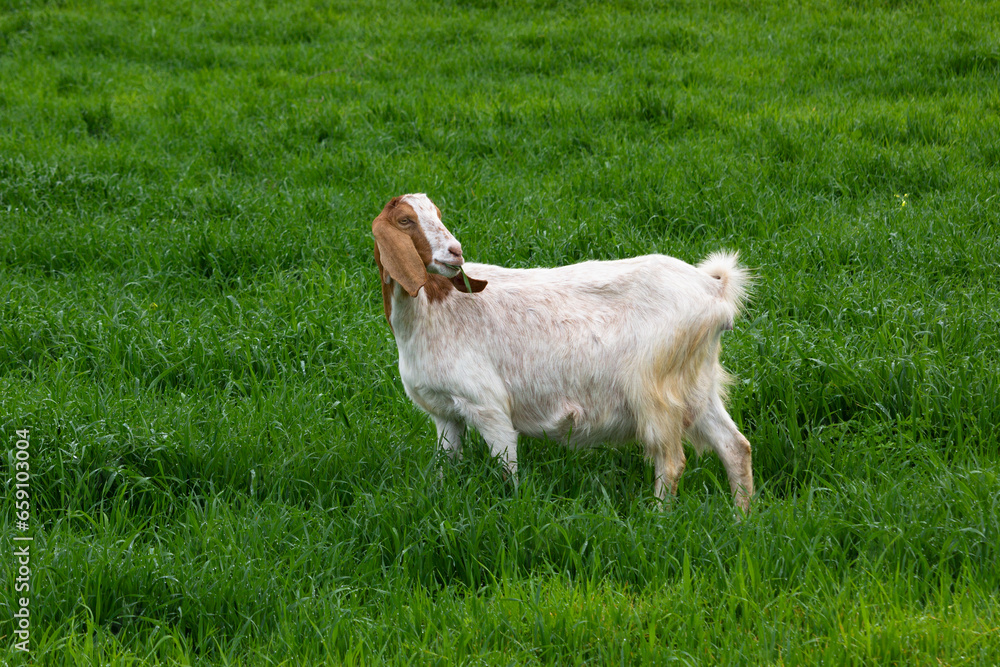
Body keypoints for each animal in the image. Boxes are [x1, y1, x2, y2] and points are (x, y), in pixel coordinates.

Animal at [372, 193, 754, 513]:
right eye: (406, 220)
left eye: (437, 214)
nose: (455, 251)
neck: (434, 309)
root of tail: (714, 291)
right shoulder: (444, 413)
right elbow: (445, 467)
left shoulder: (487, 405)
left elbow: (508, 467)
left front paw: (514, 509)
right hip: (697, 383)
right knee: (735, 447)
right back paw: (742, 518)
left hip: (654, 389)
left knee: (672, 461)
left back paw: (658, 518)